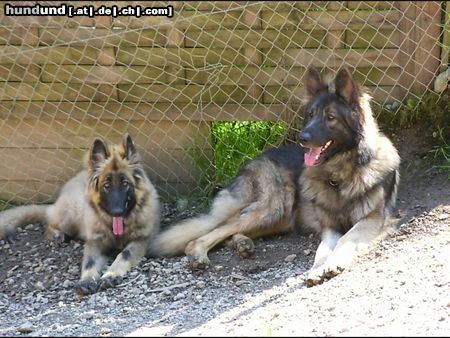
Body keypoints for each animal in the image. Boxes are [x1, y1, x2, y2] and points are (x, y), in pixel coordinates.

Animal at [0, 133, 161, 294]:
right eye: (106, 185)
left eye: (125, 183)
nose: (117, 212)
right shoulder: (94, 243)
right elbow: (89, 262)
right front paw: (87, 279)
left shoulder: (140, 240)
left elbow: (124, 255)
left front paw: (110, 274)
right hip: (71, 215)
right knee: (49, 223)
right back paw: (57, 235)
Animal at [149, 67, 400, 286]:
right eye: (310, 114)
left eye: (330, 117)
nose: (302, 138)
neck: (338, 175)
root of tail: (255, 160)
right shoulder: (330, 227)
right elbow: (322, 251)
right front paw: (317, 269)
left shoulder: (370, 219)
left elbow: (346, 239)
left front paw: (330, 264)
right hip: (273, 207)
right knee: (212, 232)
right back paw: (201, 253)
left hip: (279, 217)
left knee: (229, 232)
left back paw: (242, 243)